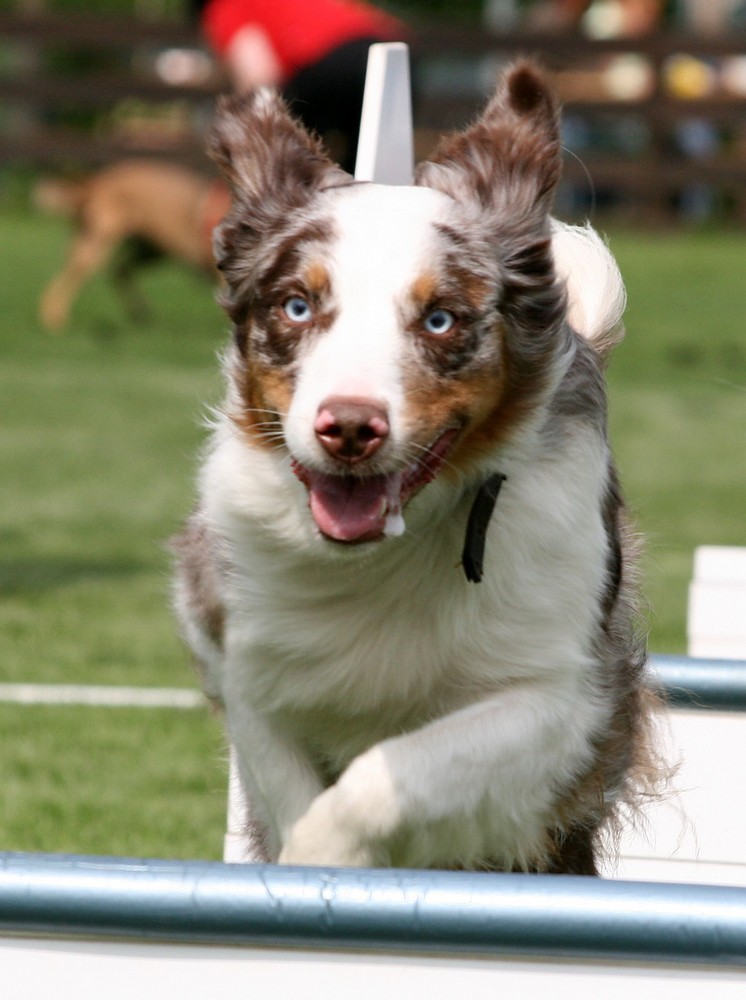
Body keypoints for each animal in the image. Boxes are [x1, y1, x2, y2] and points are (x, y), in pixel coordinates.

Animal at [37, 159, 230, 332]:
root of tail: (95, 184)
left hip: (151, 249)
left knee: (119, 271)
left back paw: (139, 311)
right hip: (96, 244)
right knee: (62, 283)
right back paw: (54, 320)